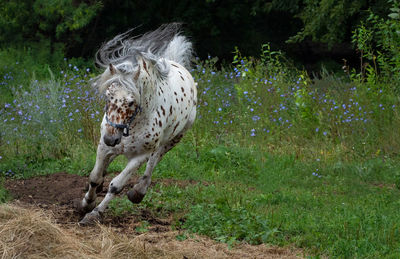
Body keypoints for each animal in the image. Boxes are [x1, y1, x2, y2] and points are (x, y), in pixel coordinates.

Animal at [77, 24, 197, 228]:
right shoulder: (102, 146)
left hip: (173, 140)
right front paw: (86, 203)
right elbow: (94, 177)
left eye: (132, 101)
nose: (111, 138)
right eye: (108, 96)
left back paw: (138, 191)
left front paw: (94, 213)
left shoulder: (139, 156)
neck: (132, 126)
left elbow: (116, 186)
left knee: (154, 161)